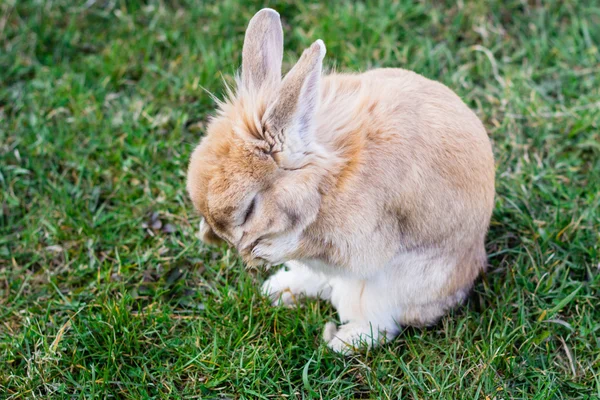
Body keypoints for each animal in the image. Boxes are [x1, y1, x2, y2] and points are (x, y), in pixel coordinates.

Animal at [186, 7, 492, 354]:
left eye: (250, 208)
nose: (228, 243)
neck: (325, 180)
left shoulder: (363, 238)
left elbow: (318, 247)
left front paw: (266, 252)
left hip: (381, 292)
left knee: (381, 325)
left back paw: (341, 342)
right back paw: (280, 290)